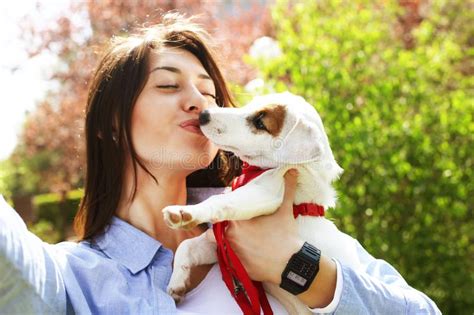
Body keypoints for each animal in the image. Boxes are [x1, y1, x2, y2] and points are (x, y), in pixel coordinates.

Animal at [163, 92, 360, 315]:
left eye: (260, 122)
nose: (203, 115)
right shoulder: (220, 245)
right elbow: (187, 246)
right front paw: (177, 283)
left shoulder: (266, 193)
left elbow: (220, 200)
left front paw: (185, 212)